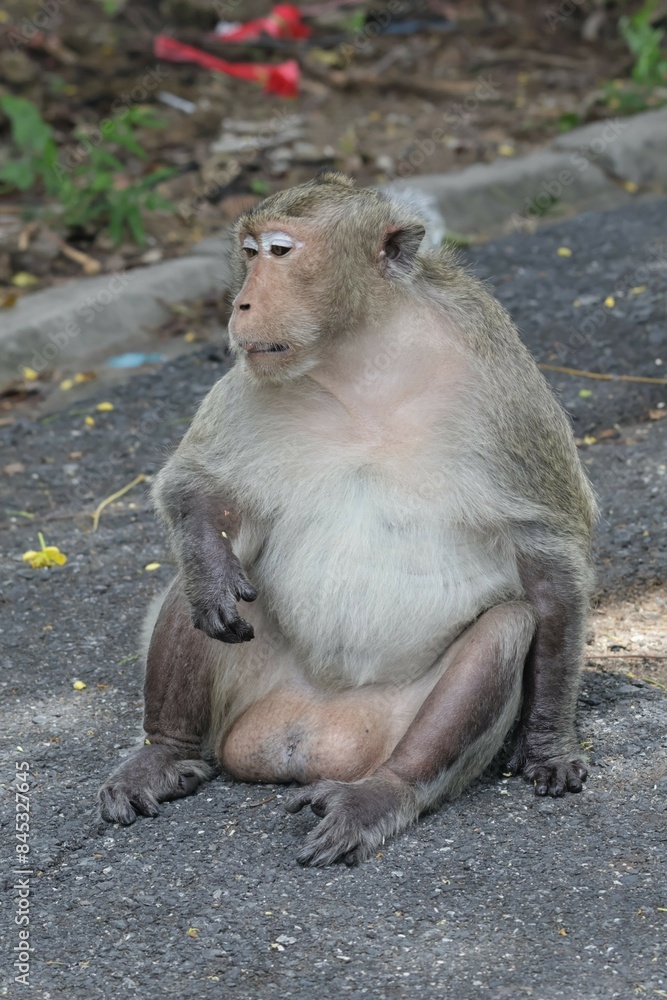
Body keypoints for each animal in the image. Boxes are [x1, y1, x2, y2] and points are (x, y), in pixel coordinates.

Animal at [99, 171, 597, 867]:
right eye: (249, 253)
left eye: (281, 252)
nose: (242, 304)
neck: (362, 362)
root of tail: (312, 733)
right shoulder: (254, 377)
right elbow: (195, 484)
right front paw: (208, 564)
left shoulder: (504, 391)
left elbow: (550, 557)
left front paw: (550, 742)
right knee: (196, 589)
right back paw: (166, 751)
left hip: (393, 725)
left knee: (506, 626)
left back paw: (383, 792)